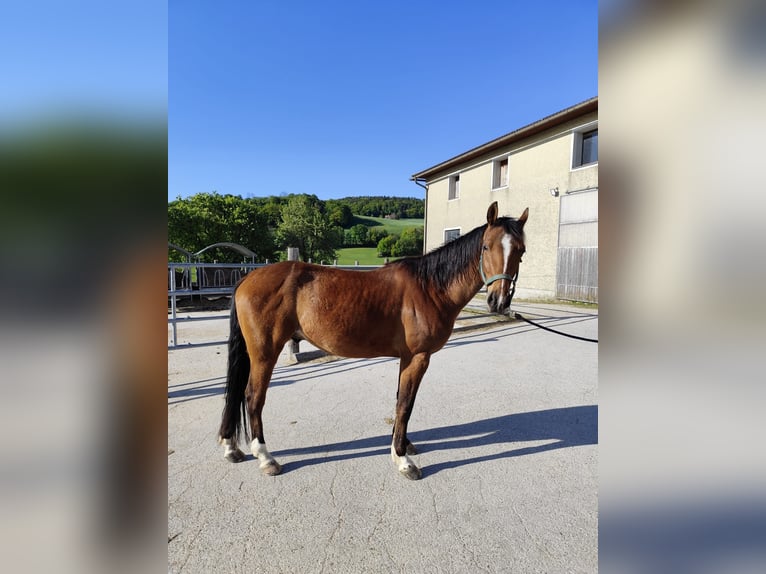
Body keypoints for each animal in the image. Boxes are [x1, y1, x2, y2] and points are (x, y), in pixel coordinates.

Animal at [218, 201, 528, 480]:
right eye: (486, 247)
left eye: (521, 251)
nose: (499, 301)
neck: (429, 287)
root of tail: (247, 279)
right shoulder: (418, 357)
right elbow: (405, 404)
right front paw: (403, 460)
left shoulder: (407, 358)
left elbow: (401, 400)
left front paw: (403, 445)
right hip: (264, 352)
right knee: (253, 396)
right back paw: (265, 457)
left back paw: (231, 447)